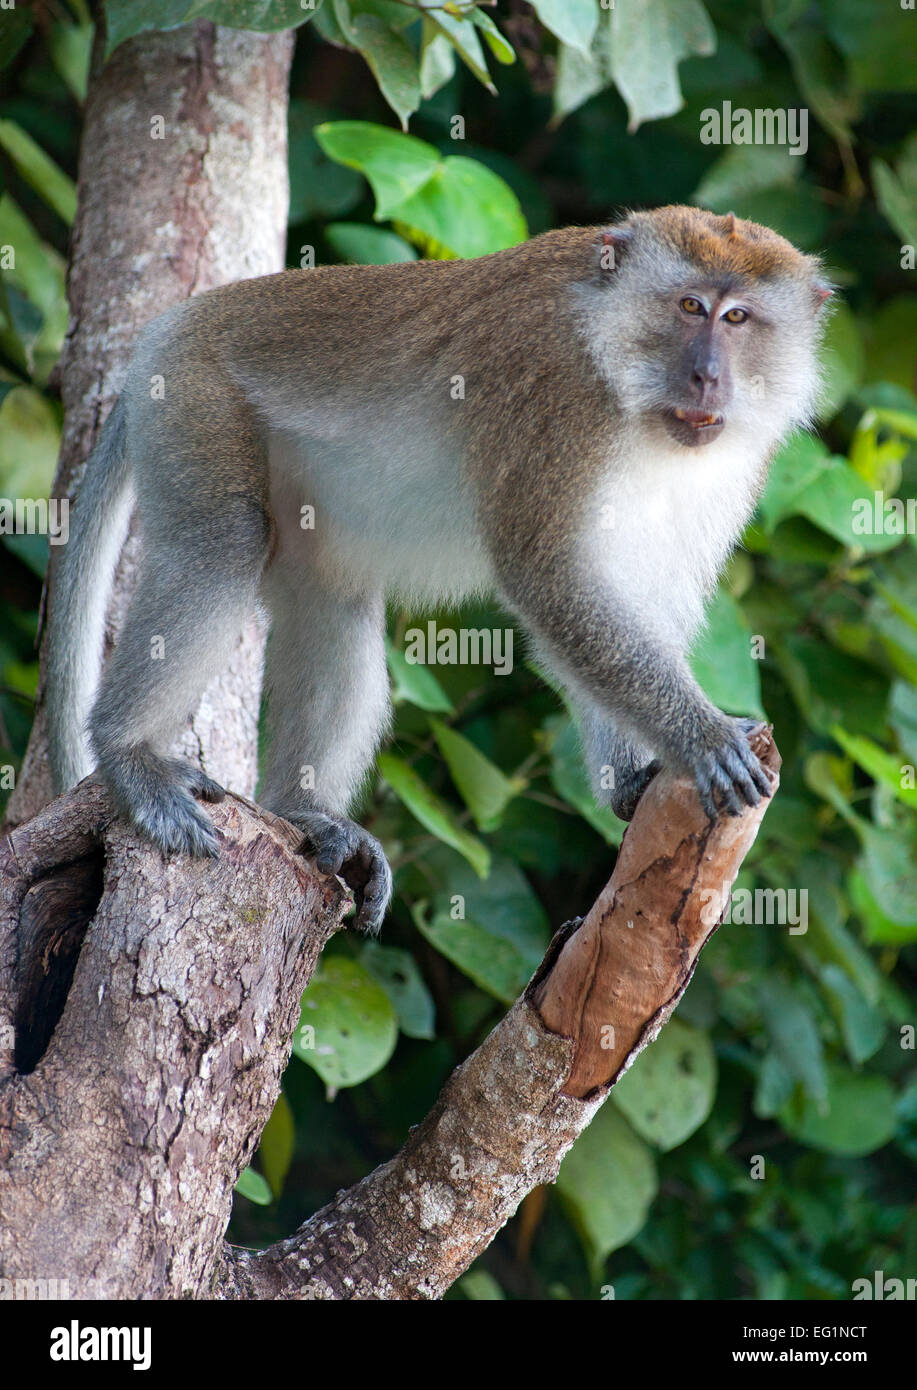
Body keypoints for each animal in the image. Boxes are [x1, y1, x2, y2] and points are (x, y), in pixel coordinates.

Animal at [44, 205, 833, 934]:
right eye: (691, 307)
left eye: (739, 317)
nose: (707, 377)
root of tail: (172, 324)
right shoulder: (560, 396)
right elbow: (553, 580)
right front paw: (701, 738)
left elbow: (641, 595)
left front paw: (635, 776)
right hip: (193, 396)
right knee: (224, 540)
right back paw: (129, 755)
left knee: (333, 600)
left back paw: (304, 812)